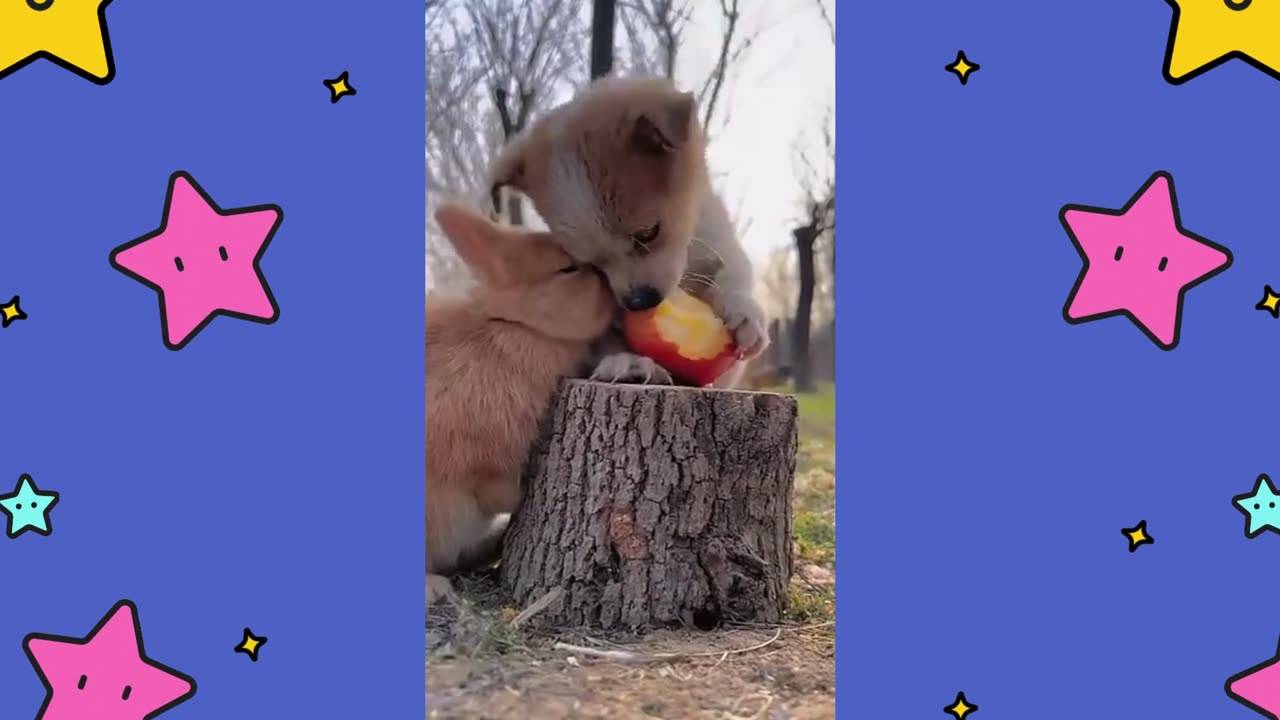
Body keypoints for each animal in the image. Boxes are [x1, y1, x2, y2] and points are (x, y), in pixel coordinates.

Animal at [486, 74, 768, 386]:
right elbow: (605, 338)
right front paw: (627, 360)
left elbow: (733, 274)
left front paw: (743, 313)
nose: (638, 302)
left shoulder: (716, 235)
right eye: (590, 264)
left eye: (648, 234)